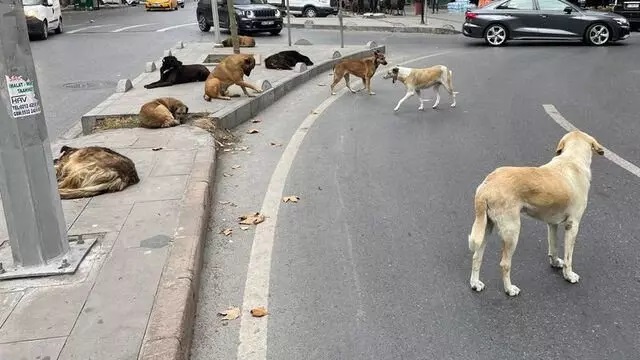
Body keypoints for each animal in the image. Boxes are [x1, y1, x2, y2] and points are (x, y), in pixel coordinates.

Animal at [468, 131, 604, 296]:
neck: (572, 160)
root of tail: (486, 186)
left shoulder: (552, 224)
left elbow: (554, 247)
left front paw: (555, 262)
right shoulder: (573, 225)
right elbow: (569, 257)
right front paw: (569, 275)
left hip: (485, 227)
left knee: (476, 256)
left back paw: (475, 283)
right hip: (512, 232)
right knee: (504, 264)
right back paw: (509, 289)